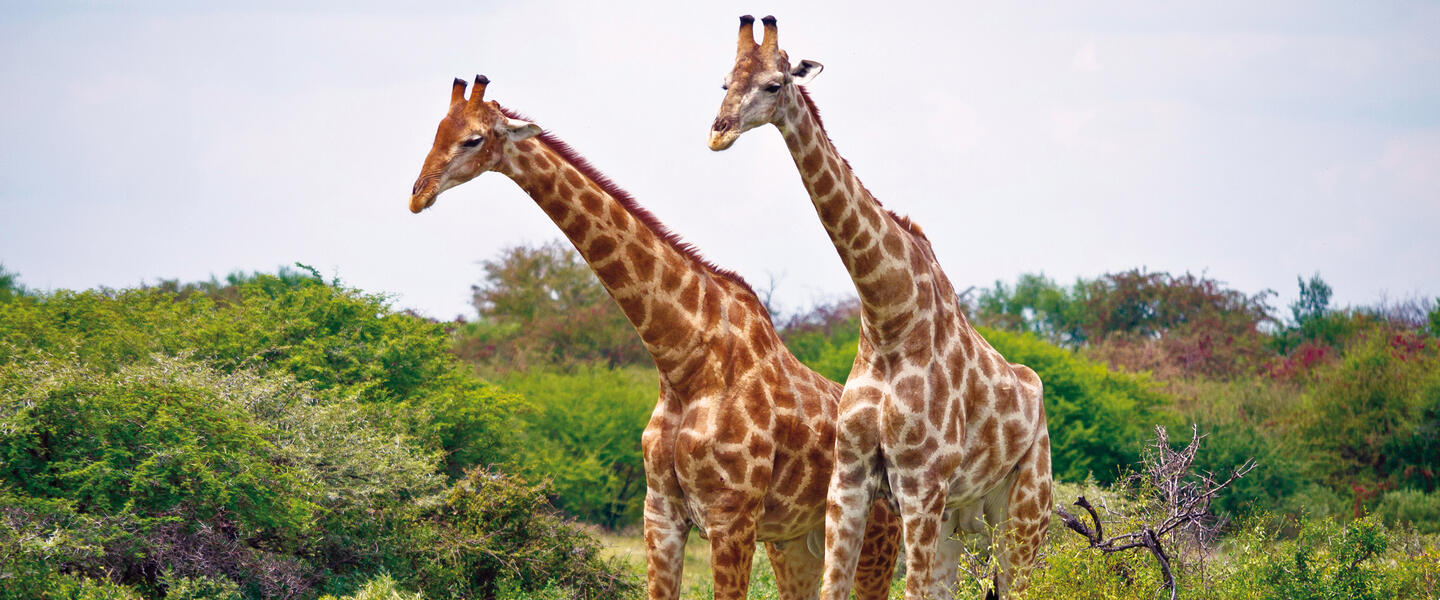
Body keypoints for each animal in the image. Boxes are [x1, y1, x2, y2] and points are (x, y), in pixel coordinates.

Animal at [408, 75, 898, 598]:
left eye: (473, 139)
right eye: (437, 130)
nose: (418, 193)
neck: (681, 360)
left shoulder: (732, 518)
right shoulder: (660, 513)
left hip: (875, 533)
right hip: (796, 542)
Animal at [708, 16, 1059, 595]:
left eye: (774, 85)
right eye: (724, 82)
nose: (718, 131)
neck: (888, 318)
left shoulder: (920, 482)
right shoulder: (848, 478)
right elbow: (834, 587)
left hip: (1025, 507)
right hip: (960, 517)